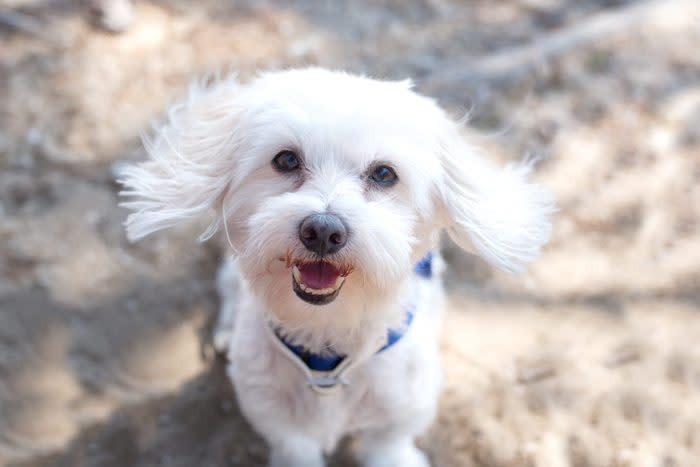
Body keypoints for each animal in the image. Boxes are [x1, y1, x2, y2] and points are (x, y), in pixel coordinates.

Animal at [117, 67, 556, 466]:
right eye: (286, 159)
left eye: (384, 174)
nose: (323, 231)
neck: (327, 344)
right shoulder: (281, 425)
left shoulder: (397, 419)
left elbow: (390, 447)